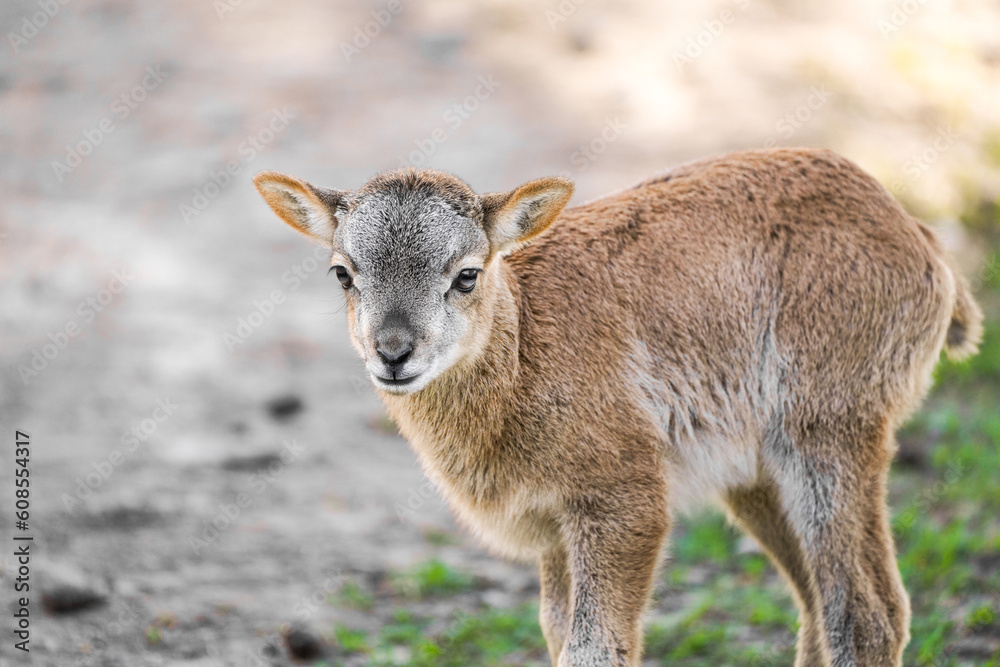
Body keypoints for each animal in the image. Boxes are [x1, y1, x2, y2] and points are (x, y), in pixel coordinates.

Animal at [252, 150, 984, 667]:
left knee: (866, 614)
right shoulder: (554, 527)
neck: (527, 354)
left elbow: (597, 647)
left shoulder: (625, 502)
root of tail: (924, 246)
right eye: (343, 273)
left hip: (828, 435)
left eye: (466, 274)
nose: (395, 353)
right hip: (755, 475)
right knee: (819, 608)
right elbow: (558, 635)